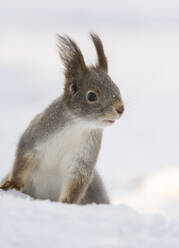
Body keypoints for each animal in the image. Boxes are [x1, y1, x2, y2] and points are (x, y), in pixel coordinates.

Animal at [0, 33, 124, 203]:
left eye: (117, 88)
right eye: (92, 96)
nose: (121, 109)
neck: (77, 125)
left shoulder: (83, 160)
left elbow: (76, 183)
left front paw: (66, 203)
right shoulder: (35, 136)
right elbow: (22, 159)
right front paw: (12, 184)